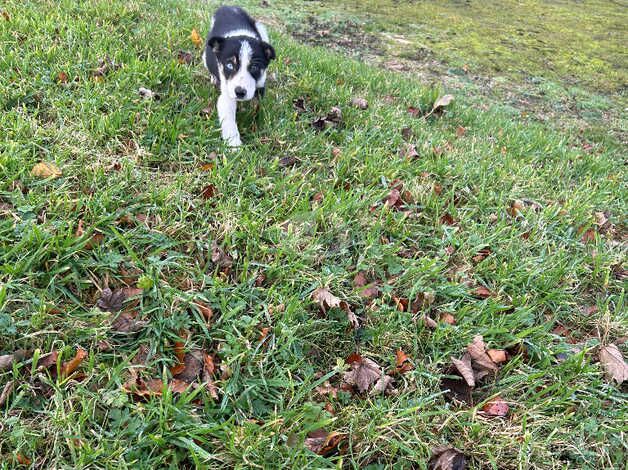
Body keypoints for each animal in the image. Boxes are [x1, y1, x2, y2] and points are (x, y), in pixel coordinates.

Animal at [204, 5, 274, 147]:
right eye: (230, 65)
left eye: (254, 67)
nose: (240, 92)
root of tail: (227, 7)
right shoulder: (227, 94)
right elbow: (229, 119)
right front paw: (234, 145)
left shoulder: (259, 85)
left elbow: (256, 105)